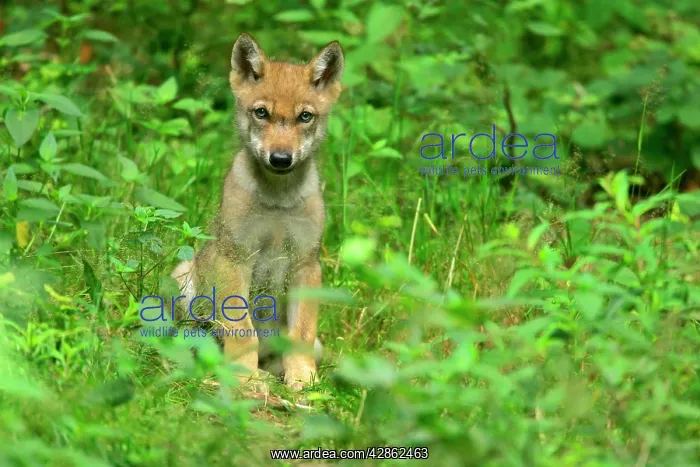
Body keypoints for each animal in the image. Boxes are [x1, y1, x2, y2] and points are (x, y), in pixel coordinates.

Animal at [170, 33, 343, 391]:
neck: (278, 202)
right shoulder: (234, 259)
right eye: (261, 113)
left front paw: (302, 379)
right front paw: (243, 377)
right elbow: (242, 330)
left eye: (305, 117)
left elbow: (301, 333)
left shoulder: (306, 264)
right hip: (183, 279)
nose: (280, 159)